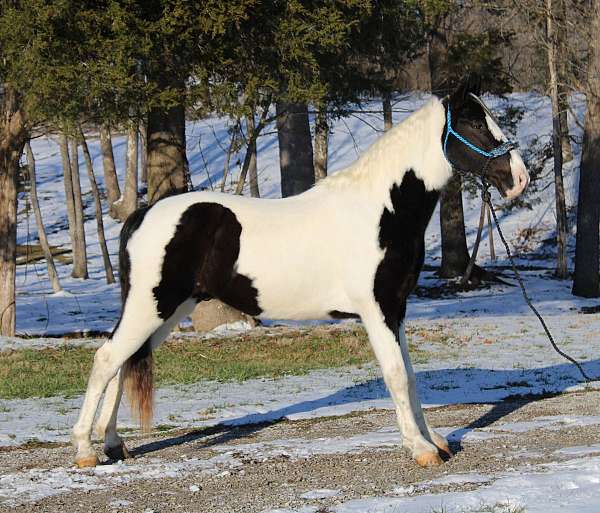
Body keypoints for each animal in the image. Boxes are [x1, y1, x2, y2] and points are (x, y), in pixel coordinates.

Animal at [72, 76, 528, 468]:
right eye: (475, 122)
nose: (519, 178)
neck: (382, 210)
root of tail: (141, 215)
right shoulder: (376, 310)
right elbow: (397, 375)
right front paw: (420, 449)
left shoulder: (396, 308)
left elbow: (411, 376)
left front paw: (434, 439)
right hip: (151, 307)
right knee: (107, 358)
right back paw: (85, 450)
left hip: (168, 309)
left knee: (124, 361)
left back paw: (114, 445)